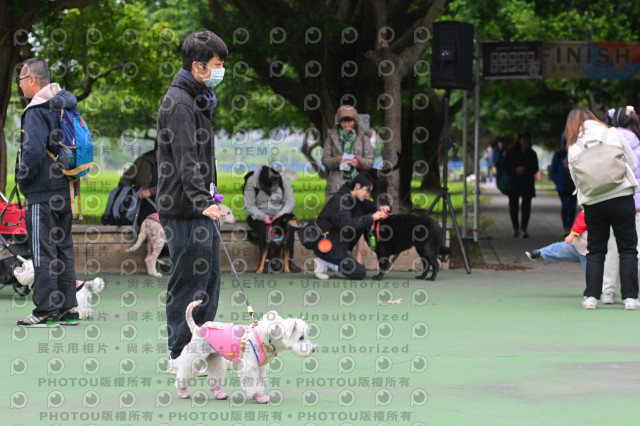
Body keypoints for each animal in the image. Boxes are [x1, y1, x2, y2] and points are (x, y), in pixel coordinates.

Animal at [175, 300, 317, 403]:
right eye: (301, 337)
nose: (313, 349)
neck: (266, 338)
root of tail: (197, 329)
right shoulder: (249, 367)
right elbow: (252, 382)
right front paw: (256, 395)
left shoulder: (260, 367)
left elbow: (260, 382)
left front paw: (259, 395)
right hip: (193, 358)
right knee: (184, 374)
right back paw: (183, 392)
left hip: (214, 358)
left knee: (214, 376)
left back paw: (219, 394)